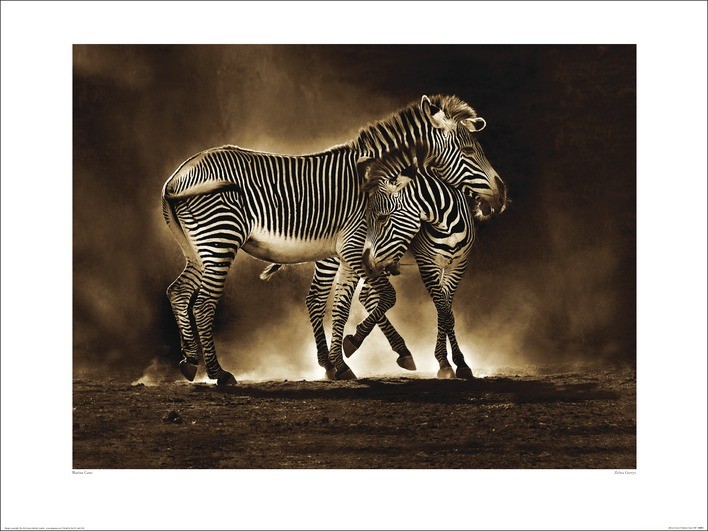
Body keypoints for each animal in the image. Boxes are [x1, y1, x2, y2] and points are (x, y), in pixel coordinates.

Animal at [162, 95, 505, 385]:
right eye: (469, 151)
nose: (501, 195)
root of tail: (176, 176)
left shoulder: (352, 254)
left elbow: (342, 305)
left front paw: (340, 365)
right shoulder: (356, 248)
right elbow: (385, 296)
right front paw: (352, 350)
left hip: (197, 249)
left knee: (178, 291)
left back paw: (190, 361)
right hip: (220, 239)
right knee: (203, 303)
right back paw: (219, 373)